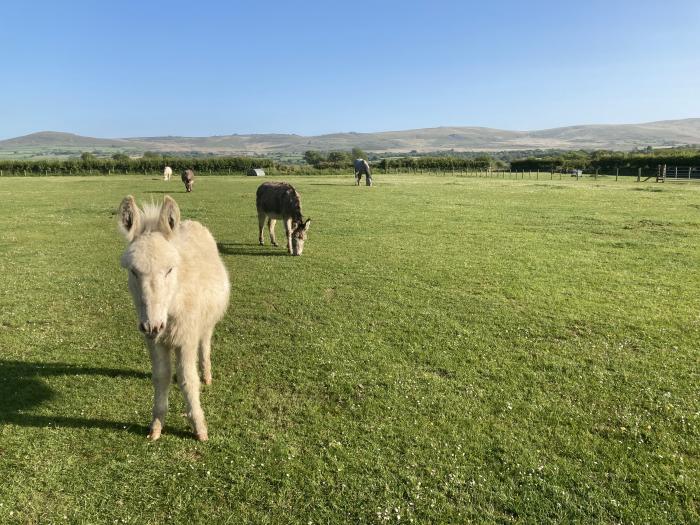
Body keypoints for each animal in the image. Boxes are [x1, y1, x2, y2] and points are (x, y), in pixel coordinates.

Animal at [117, 194, 230, 440]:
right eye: (133, 271)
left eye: (169, 269)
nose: (152, 326)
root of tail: (190, 222)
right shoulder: (155, 342)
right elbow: (161, 377)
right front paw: (156, 426)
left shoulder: (186, 339)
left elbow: (188, 380)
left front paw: (199, 427)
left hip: (206, 323)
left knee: (205, 344)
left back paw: (206, 374)